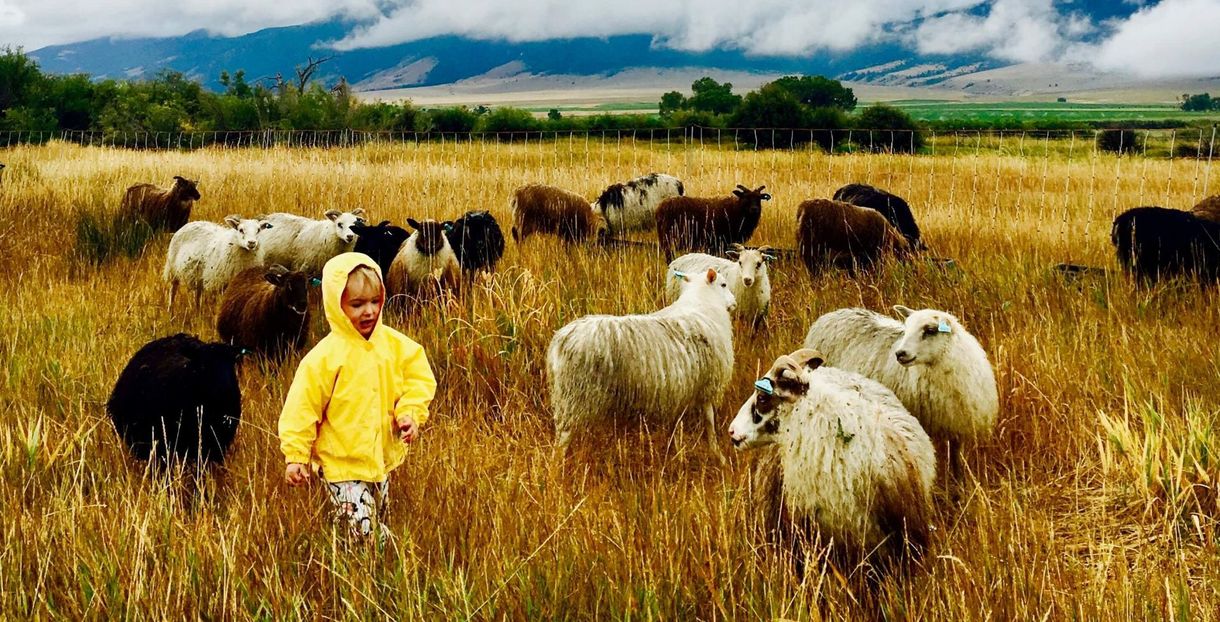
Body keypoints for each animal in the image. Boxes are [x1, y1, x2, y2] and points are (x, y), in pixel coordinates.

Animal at [547, 268, 737, 461]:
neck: (702, 304)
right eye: (723, 284)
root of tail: (560, 342)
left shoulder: (681, 388)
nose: (734, 303)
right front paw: (718, 453)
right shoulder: (708, 385)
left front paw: (674, 448)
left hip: (567, 395)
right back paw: (557, 464)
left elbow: (678, 423)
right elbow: (709, 420)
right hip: (577, 395)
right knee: (563, 437)